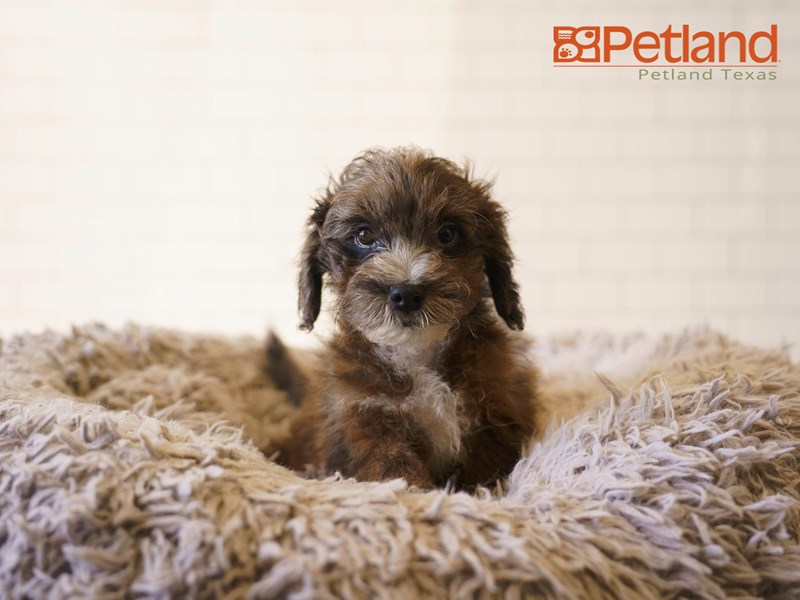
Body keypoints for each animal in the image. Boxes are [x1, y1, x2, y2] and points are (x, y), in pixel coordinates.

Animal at [274, 148, 536, 490]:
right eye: (363, 235)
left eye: (448, 234)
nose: (406, 293)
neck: (416, 353)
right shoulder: (364, 418)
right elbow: (394, 466)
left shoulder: (496, 413)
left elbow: (482, 473)